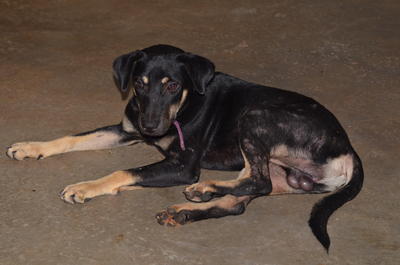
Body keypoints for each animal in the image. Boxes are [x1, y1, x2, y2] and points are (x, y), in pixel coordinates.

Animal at [5, 44, 362, 251]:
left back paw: (203, 189)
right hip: (282, 174)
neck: (188, 102)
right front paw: (30, 147)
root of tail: (348, 149)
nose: (150, 127)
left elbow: (123, 171)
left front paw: (84, 187)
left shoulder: (183, 166)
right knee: (241, 199)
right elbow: (73, 138)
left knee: (256, 180)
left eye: (173, 85)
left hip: (256, 116)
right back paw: (187, 210)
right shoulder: (126, 130)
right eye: (139, 85)